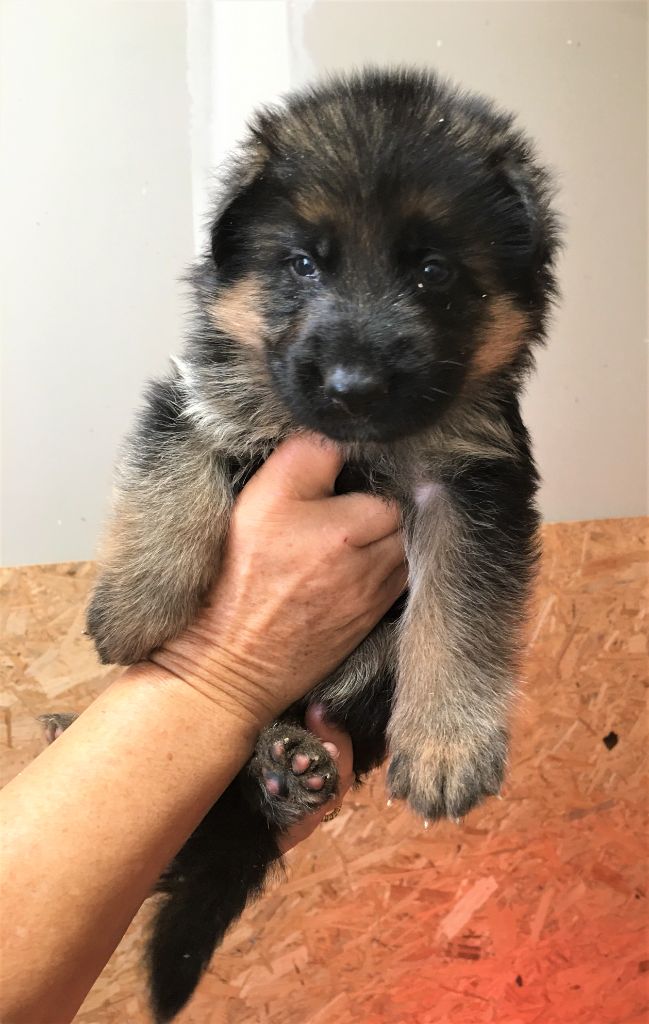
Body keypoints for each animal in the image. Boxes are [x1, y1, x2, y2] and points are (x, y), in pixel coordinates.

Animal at [51, 69, 560, 1021]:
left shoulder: (473, 483)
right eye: (302, 263)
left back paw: (285, 768)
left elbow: (458, 615)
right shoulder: (201, 397)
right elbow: (175, 466)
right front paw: (137, 601)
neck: (354, 443)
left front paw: (445, 743)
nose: (353, 386)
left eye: (432, 272)